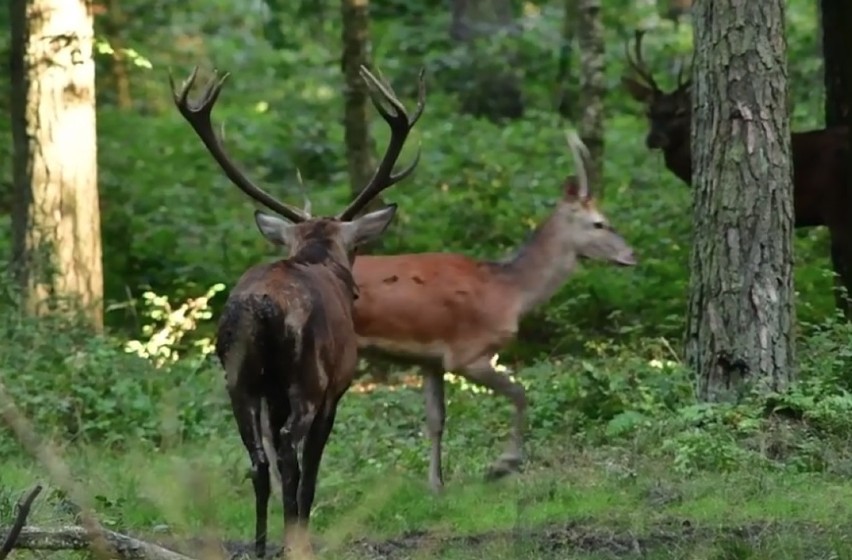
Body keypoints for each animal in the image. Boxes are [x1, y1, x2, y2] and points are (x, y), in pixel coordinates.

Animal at [170, 64, 426, 556]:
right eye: (356, 248)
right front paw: (304, 530)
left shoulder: (270, 395)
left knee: (257, 459)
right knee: (289, 454)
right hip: (306, 378)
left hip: (239, 379)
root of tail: (259, 308)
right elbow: (311, 471)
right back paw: (292, 540)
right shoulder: (335, 390)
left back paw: (260, 545)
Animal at [350, 131, 636, 490]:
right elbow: (520, 393)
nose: (632, 255)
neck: (509, 292)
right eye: (599, 223)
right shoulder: (468, 353)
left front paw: (436, 486)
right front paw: (503, 464)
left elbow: (436, 420)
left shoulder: (432, 360)